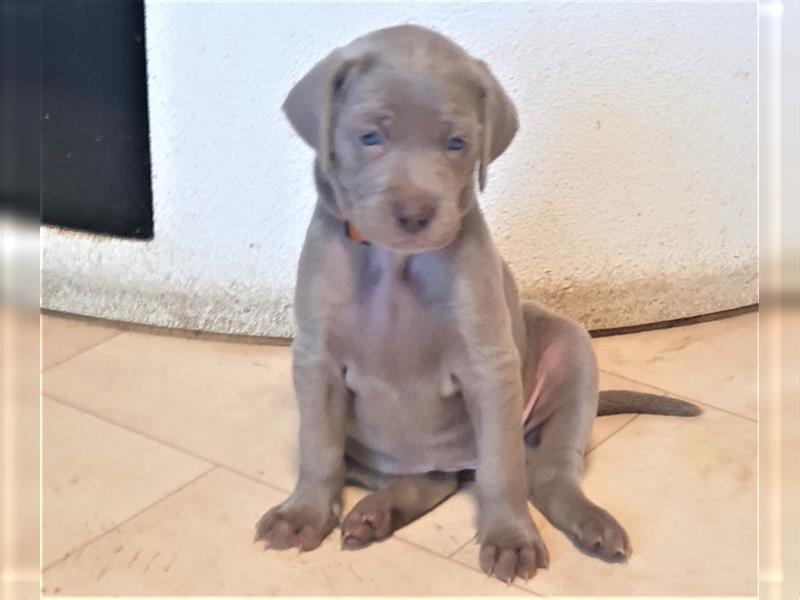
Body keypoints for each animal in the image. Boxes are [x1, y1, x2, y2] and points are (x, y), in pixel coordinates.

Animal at [256, 23, 700, 580]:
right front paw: (303, 515)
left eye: (456, 143)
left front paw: (510, 538)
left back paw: (592, 524)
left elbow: (502, 470)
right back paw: (378, 511)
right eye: (369, 137)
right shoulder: (317, 360)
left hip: (568, 350)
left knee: (546, 474)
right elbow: (319, 450)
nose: (415, 213)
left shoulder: (488, 363)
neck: (396, 267)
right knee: (430, 478)